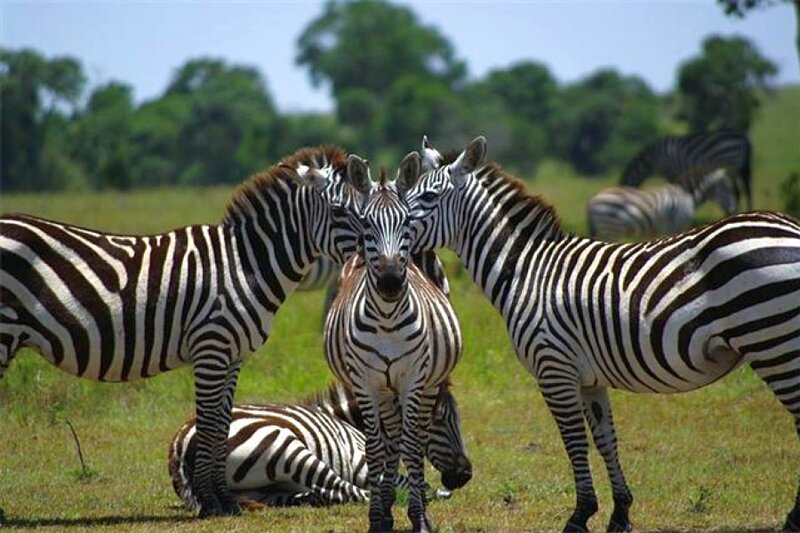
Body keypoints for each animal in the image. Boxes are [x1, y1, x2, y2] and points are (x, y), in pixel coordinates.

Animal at [0, 145, 367, 519]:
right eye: (340, 211)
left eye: (368, 208)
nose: (377, 260)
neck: (245, 265)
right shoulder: (211, 347)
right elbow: (207, 425)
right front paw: (211, 502)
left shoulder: (233, 355)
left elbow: (221, 425)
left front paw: (224, 500)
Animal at [168, 379, 471, 509]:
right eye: (438, 420)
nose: (466, 475)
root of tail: (182, 440)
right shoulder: (360, 462)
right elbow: (420, 486)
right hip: (286, 447)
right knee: (347, 490)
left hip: (260, 489)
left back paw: (312, 496)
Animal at [325, 153, 464, 533]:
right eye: (365, 225)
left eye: (406, 223)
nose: (389, 282)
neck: (387, 318)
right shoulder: (364, 382)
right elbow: (375, 447)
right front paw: (377, 516)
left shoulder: (413, 378)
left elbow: (412, 444)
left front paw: (418, 517)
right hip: (383, 388)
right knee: (390, 440)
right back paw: (386, 505)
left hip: (426, 384)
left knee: (408, 438)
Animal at [587, 167, 738, 241]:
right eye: (728, 187)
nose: (732, 210)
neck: (687, 195)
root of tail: (592, 200)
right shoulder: (677, 224)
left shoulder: (657, 230)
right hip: (611, 227)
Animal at [620, 129, 753, 211]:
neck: (655, 158)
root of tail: (744, 138)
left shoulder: (672, 170)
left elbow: (678, 185)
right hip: (739, 169)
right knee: (744, 191)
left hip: (731, 166)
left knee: (737, 191)